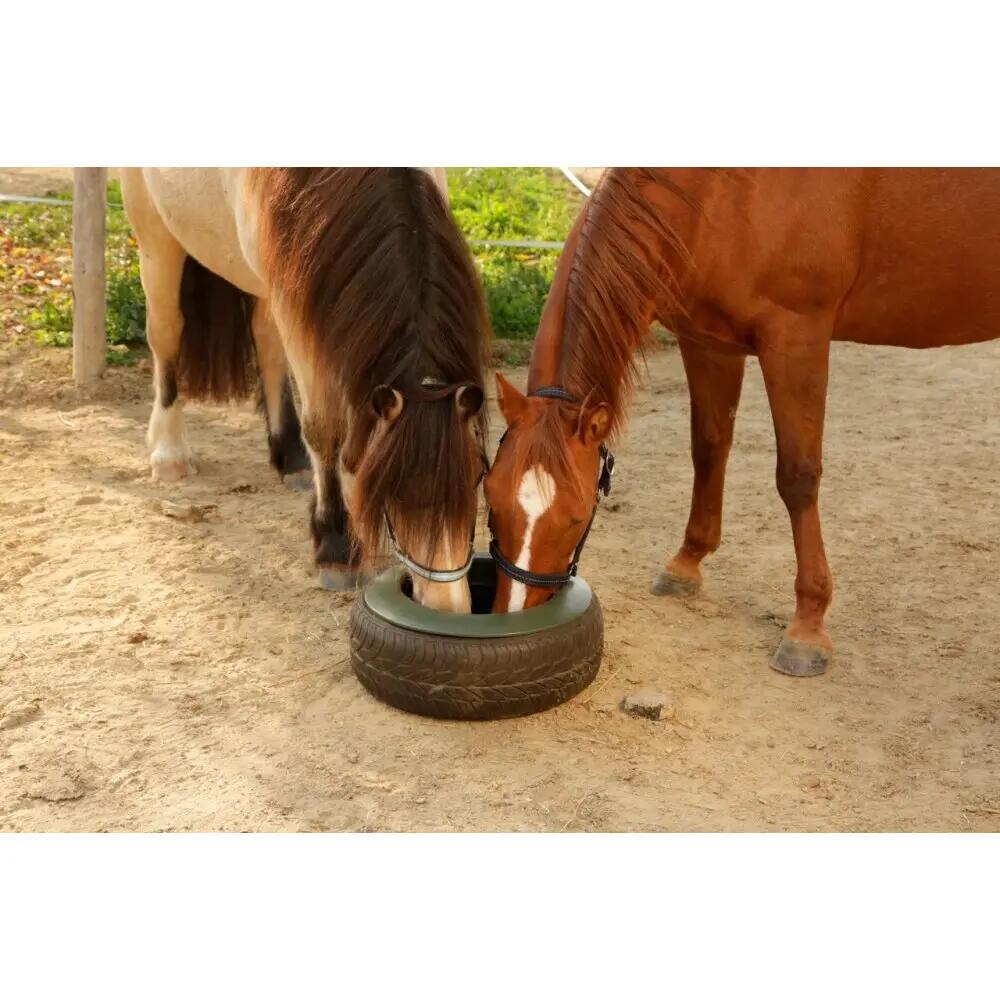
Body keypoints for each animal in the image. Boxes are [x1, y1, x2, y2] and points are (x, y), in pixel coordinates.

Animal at [120, 168, 489, 612]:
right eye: (388, 490)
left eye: (478, 475)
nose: (447, 606)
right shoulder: (296, 308)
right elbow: (324, 429)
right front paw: (335, 546)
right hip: (157, 241)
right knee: (166, 333)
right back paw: (169, 453)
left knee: (265, 340)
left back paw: (289, 455)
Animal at [484, 168, 1000, 674]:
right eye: (489, 498)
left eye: (578, 516)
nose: (515, 619)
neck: (724, 191)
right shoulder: (708, 342)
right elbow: (709, 448)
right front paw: (686, 564)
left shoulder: (797, 340)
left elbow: (797, 476)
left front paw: (807, 627)